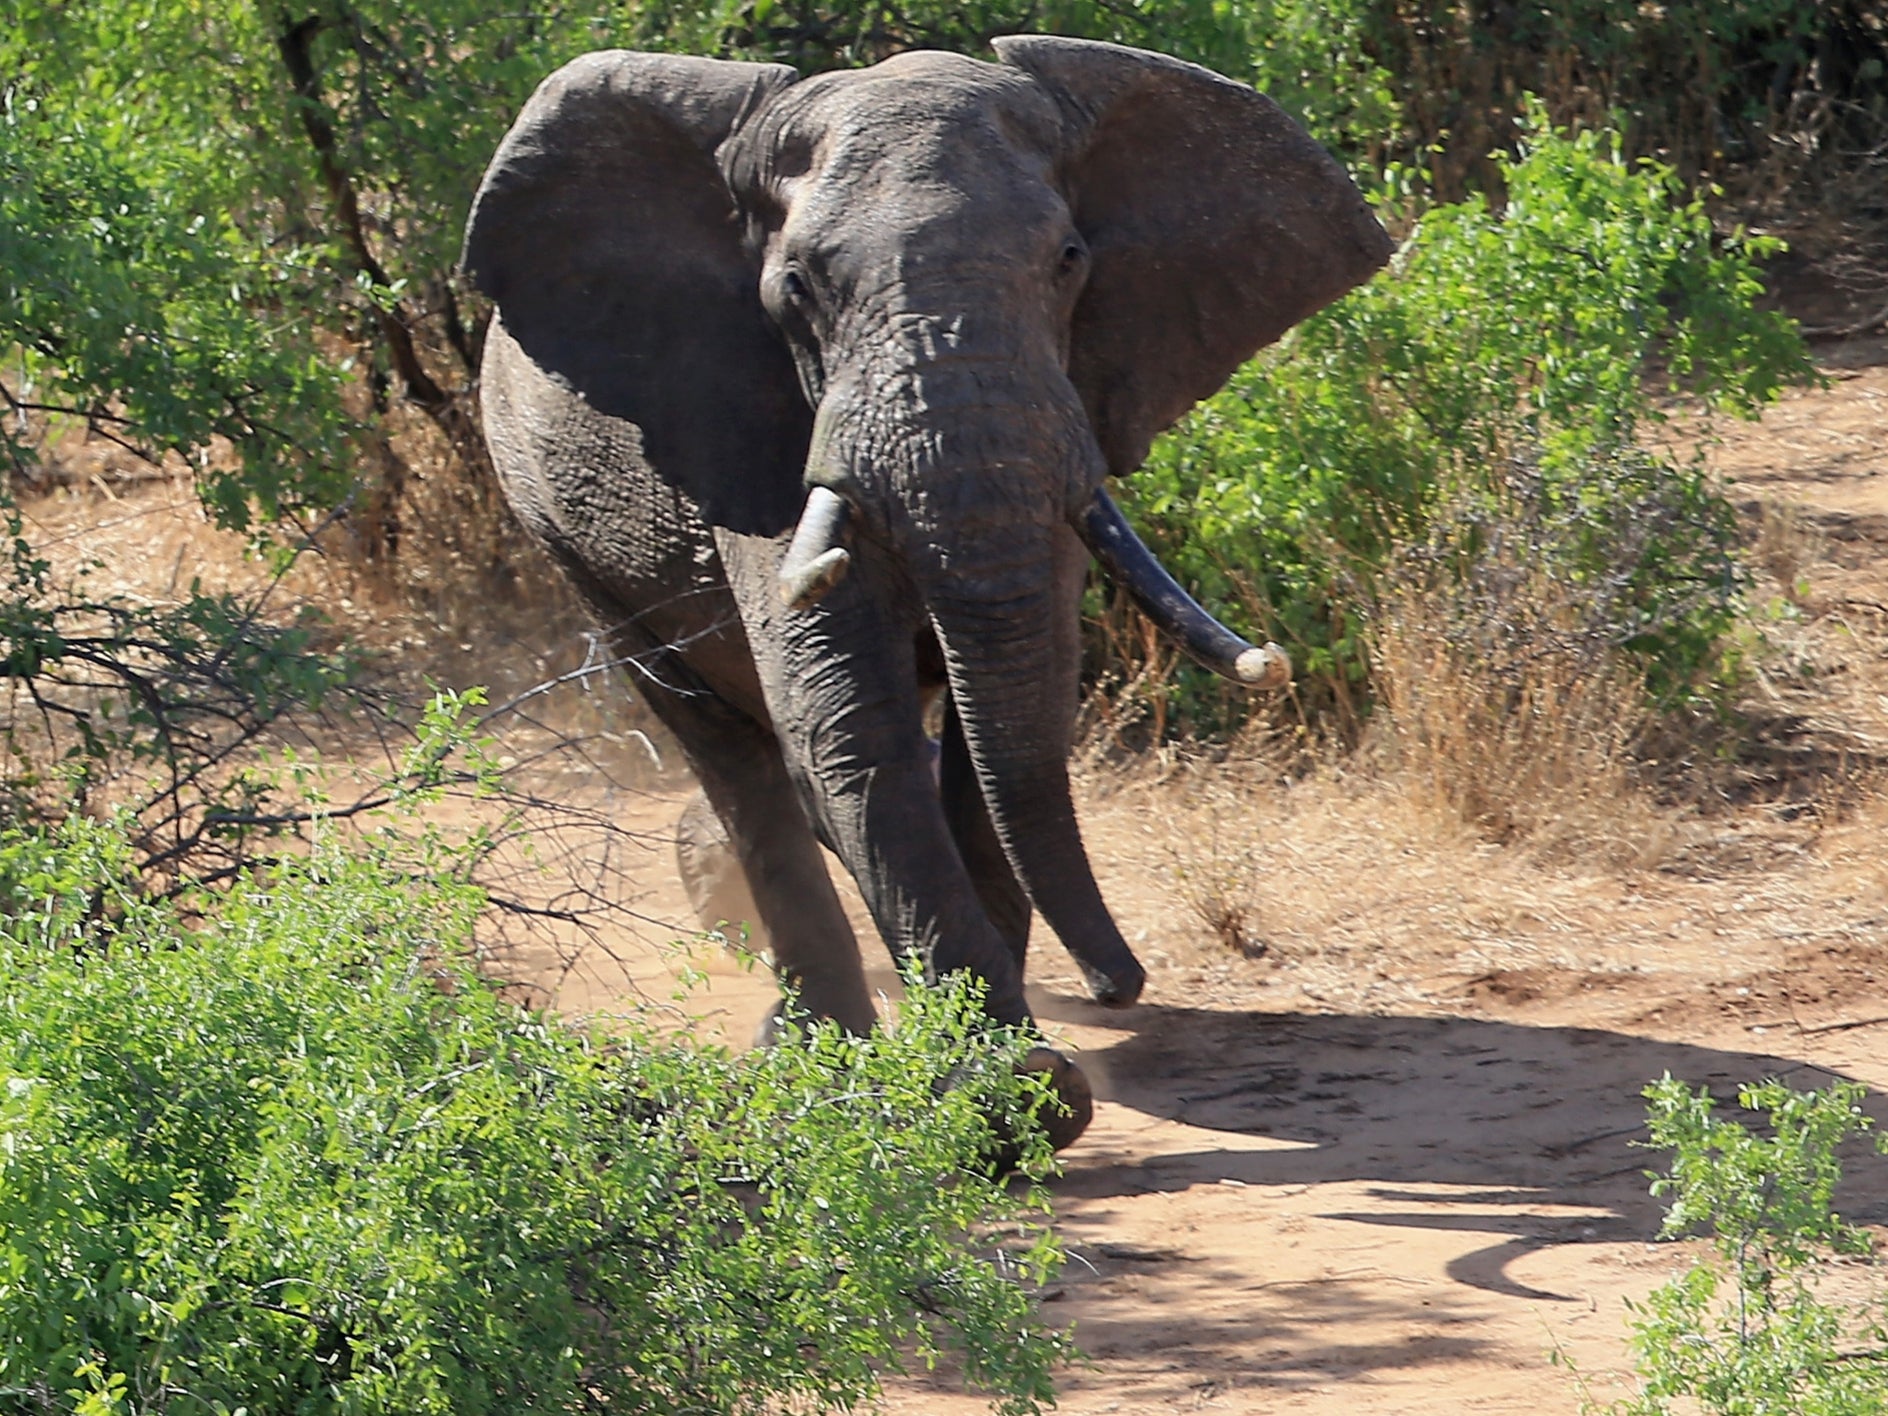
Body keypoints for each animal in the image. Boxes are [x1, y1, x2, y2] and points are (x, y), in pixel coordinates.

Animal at [464, 36, 1391, 1146]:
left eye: (1069, 260)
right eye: (797, 288)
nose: (1118, 982)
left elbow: (1012, 710)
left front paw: (999, 1070)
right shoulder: (746, 415)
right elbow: (844, 717)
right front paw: (1009, 1097)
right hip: (557, 530)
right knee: (725, 744)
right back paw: (806, 1041)